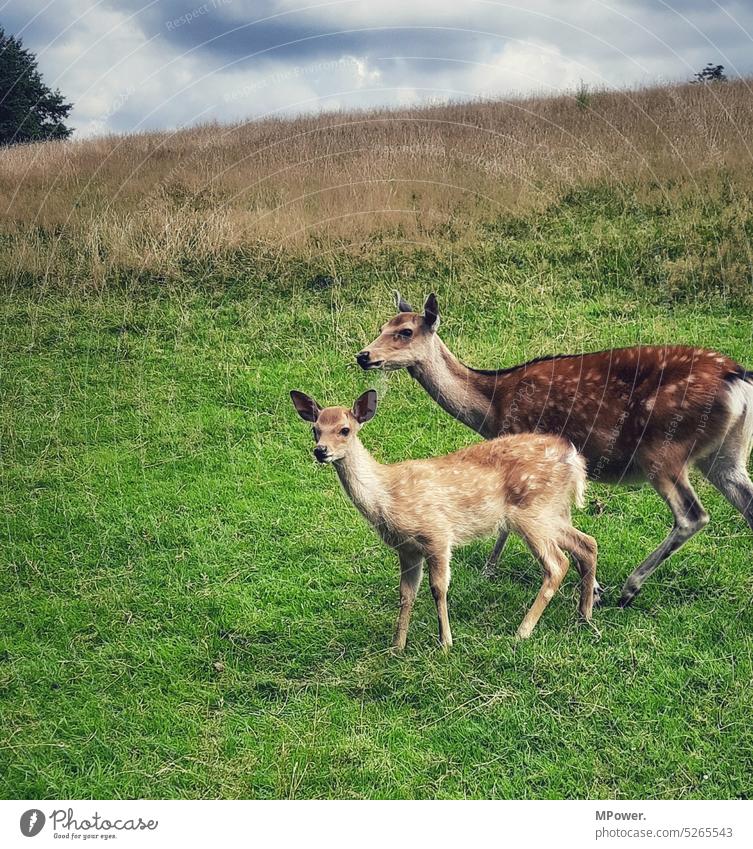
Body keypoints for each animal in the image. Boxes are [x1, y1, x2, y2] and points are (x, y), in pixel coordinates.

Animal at [354, 294, 752, 608]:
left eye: (406, 331)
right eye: (383, 325)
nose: (363, 355)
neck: (493, 408)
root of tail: (738, 378)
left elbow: (512, 522)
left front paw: (489, 571)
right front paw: (591, 585)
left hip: (663, 450)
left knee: (692, 515)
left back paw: (630, 588)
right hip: (726, 456)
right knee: (745, 504)